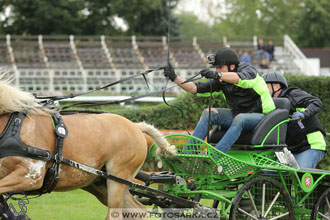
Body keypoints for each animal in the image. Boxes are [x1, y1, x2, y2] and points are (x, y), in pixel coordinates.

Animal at [0, 75, 177, 219]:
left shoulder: (31, 177)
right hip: (100, 182)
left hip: (117, 179)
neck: (13, 126)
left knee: (115, 214)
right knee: (136, 210)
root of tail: (135, 126)